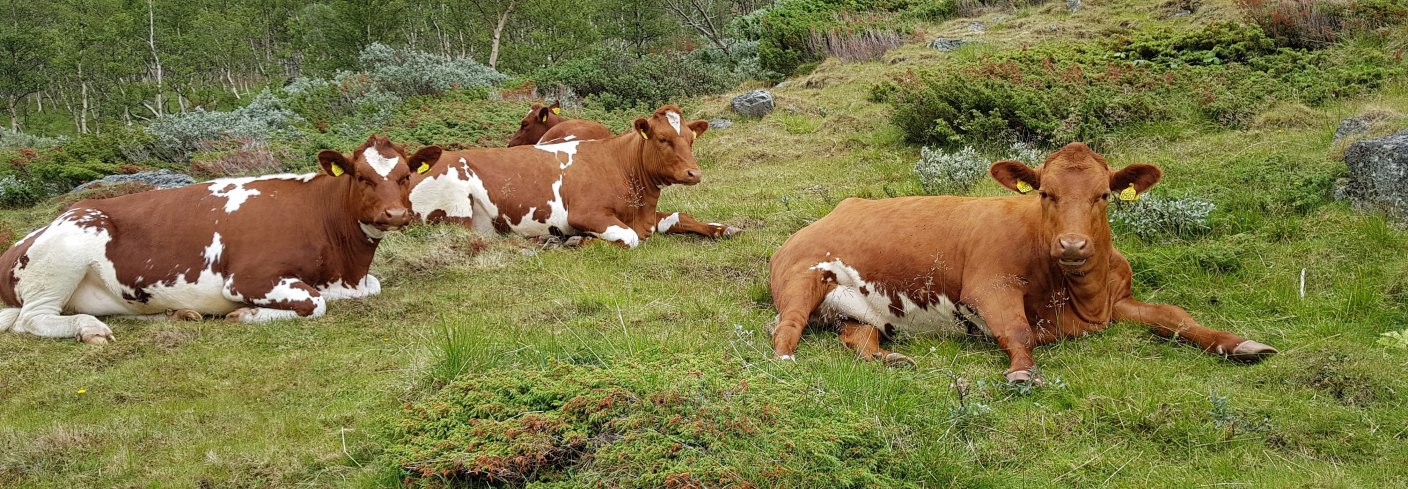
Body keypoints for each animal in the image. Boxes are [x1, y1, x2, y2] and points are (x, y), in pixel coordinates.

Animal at [0, 135, 442, 345]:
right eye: (362, 177)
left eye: (405, 175)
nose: (395, 214)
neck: (346, 267)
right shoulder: (248, 278)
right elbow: (314, 303)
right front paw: (244, 314)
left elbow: (371, 287)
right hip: (66, 251)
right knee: (31, 320)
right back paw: (88, 329)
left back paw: (180, 314)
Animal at [411, 104, 743, 246]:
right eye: (662, 139)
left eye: (690, 139)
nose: (694, 173)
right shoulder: (586, 213)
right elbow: (630, 237)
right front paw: (578, 240)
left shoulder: (645, 216)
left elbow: (678, 217)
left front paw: (724, 228)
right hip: (457, 208)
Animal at [765, 143, 1284, 386]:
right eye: (1045, 193)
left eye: (1104, 195)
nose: (1072, 245)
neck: (1081, 297)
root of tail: (834, 210)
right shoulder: (989, 287)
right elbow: (1018, 330)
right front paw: (1021, 371)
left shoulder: (1119, 301)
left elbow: (1177, 317)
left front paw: (1238, 343)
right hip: (802, 280)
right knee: (785, 328)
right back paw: (786, 362)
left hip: (859, 312)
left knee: (859, 338)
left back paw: (893, 358)